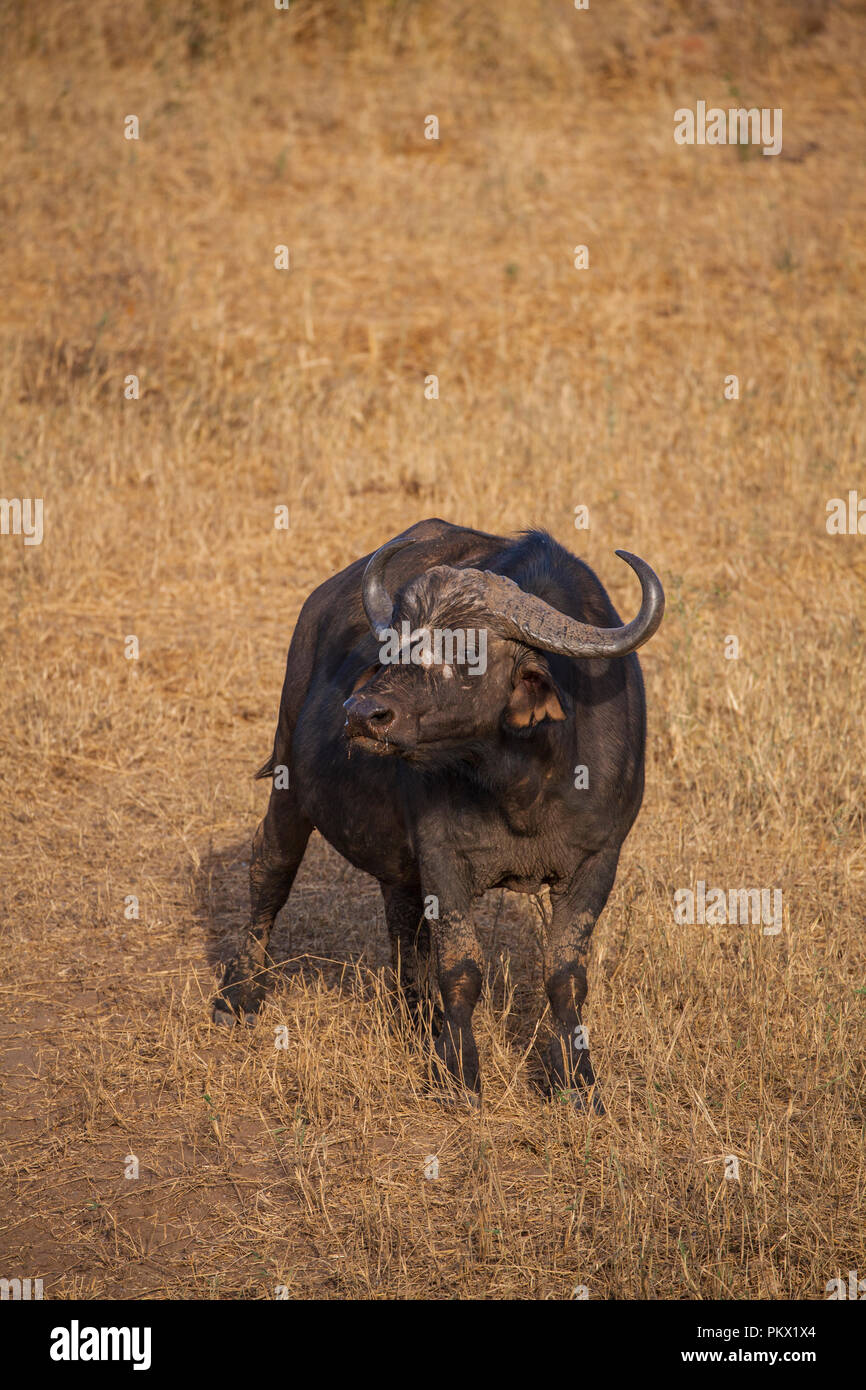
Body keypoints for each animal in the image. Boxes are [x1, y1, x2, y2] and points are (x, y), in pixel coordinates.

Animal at [215, 517, 664, 1112]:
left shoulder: (598, 859)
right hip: (288, 777)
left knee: (400, 915)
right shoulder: (442, 854)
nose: (362, 713)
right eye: (395, 644)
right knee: (271, 869)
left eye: (468, 653)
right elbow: (461, 968)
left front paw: (578, 1082)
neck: (522, 782)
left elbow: (565, 975)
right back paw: (239, 994)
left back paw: (417, 1015)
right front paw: (462, 1076)